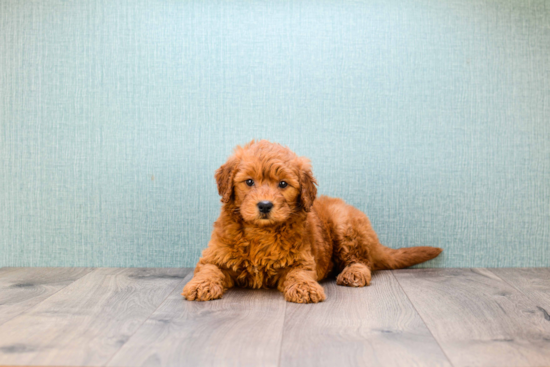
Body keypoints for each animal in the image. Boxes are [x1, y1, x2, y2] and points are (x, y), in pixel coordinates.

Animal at [184, 139, 444, 304]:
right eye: (249, 182)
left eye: (283, 184)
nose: (265, 205)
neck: (261, 232)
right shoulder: (215, 256)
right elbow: (208, 270)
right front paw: (200, 285)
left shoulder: (301, 259)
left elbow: (299, 274)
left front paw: (304, 288)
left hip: (345, 226)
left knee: (363, 260)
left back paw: (354, 273)